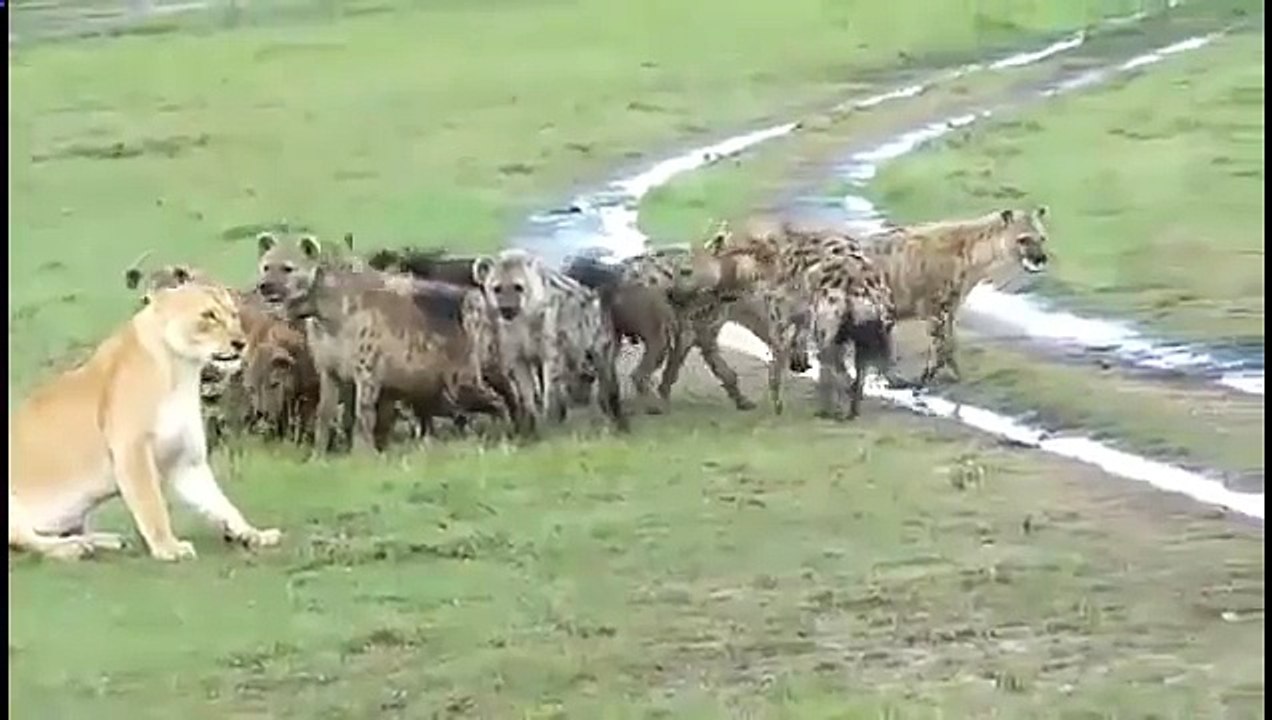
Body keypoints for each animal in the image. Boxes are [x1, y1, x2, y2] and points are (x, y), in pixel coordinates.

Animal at [8, 283, 282, 562]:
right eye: (209, 315)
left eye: (234, 314)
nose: (240, 343)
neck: (182, 371)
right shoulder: (132, 450)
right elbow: (152, 504)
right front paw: (169, 548)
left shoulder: (185, 462)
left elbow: (221, 503)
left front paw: (254, 534)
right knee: (25, 540)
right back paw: (73, 548)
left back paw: (105, 541)